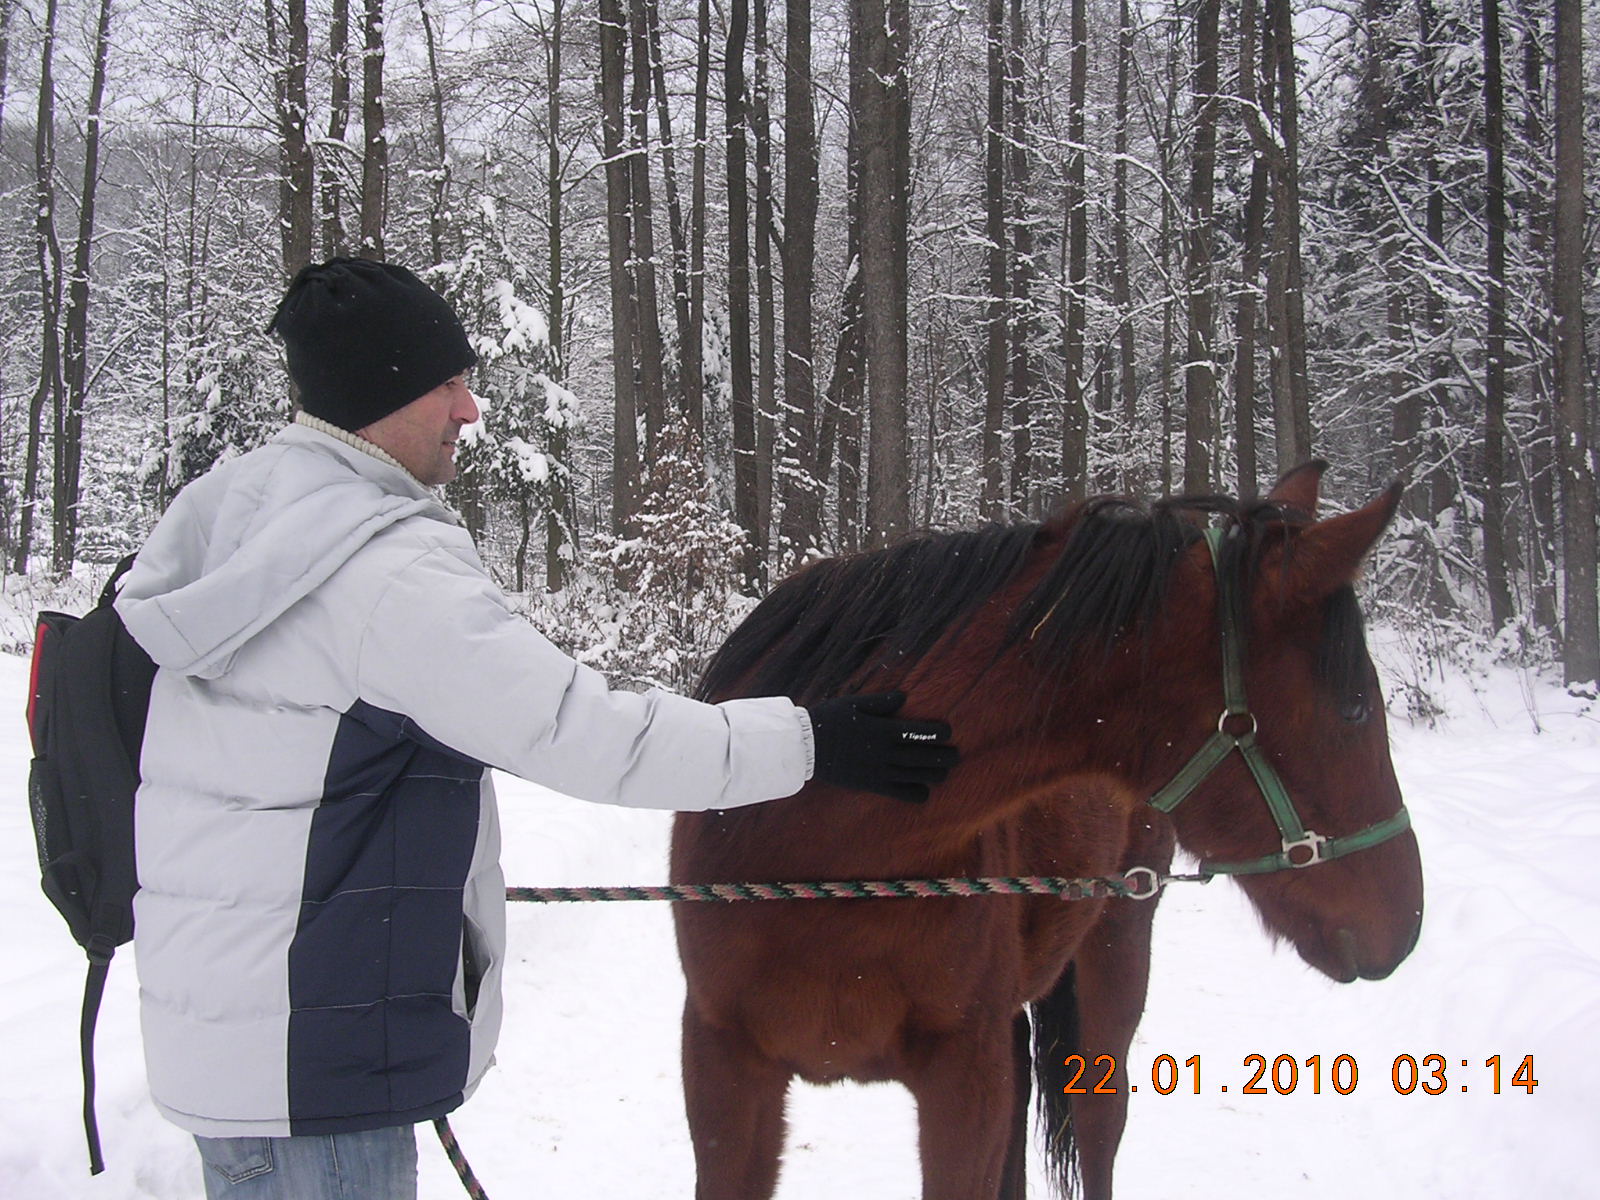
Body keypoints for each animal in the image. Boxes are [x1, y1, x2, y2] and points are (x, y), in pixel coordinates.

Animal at [668, 464, 1420, 1196]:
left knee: (1098, 1125)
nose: (1406, 927)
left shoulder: (964, 1078)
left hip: (1116, 952)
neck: (822, 862)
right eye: (1355, 709)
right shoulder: (723, 1067)